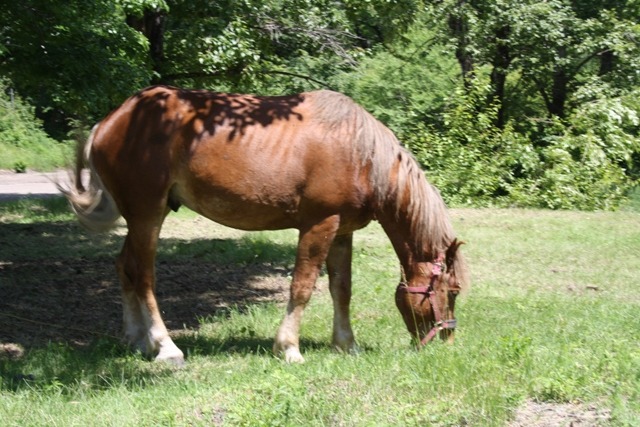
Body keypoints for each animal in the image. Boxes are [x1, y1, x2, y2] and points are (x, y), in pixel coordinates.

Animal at [60, 85, 469, 364]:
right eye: (451, 292)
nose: (448, 342)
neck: (362, 154)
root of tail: (111, 121)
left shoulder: (342, 231)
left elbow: (342, 289)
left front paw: (346, 344)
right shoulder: (319, 225)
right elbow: (302, 287)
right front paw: (288, 347)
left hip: (142, 218)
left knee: (124, 267)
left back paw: (137, 339)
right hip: (148, 216)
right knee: (143, 275)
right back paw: (165, 346)